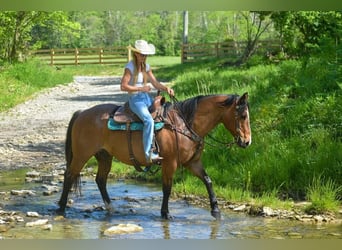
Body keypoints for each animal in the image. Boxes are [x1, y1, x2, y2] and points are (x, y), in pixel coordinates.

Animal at [57, 93, 251, 220]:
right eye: (242, 116)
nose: (247, 142)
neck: (185, 125)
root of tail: (82, 113)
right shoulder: (170, 163)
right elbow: (167, 188)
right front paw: (166, 213)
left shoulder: (193, 163)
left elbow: (208, 181)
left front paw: (216, 210)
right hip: (82, 155)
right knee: (69, 175)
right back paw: (61, 209)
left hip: (104, 156)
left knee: (100, 180)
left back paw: (110, 208)